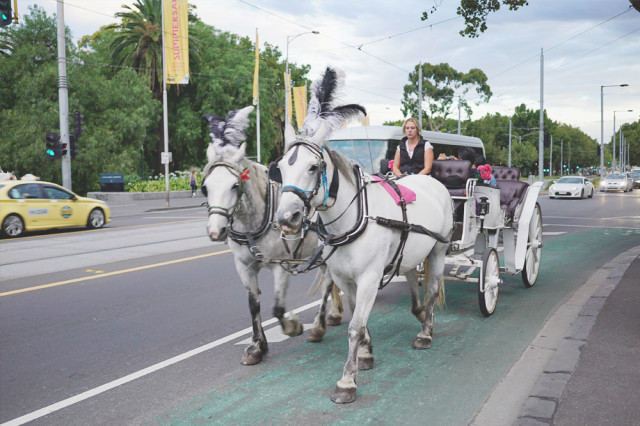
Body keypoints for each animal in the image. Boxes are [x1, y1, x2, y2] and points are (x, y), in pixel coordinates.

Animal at [201, 106, 343, 366]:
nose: (216, 231)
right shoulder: (244, 266)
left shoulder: (281, 265)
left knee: (329, 283)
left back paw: (318, 327)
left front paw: (292, 326)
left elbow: (277, 308)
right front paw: (257, 346)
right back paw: (334, 314)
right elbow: (253, 305)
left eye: (235, 186)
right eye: (205, 187)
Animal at [274, 67, 454, 403]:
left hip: (438, 249)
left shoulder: (370, 276)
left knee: (433, 288)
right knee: (412, 275)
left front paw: (347, 381)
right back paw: (418, 312)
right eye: (278, 167)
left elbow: (355, 326)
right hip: (410, 249)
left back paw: (425, 330)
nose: (286, 218)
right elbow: (360, 316)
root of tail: (435, 182)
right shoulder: (345, 279)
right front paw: (366, 355)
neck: (352, 221)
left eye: (314, 167)